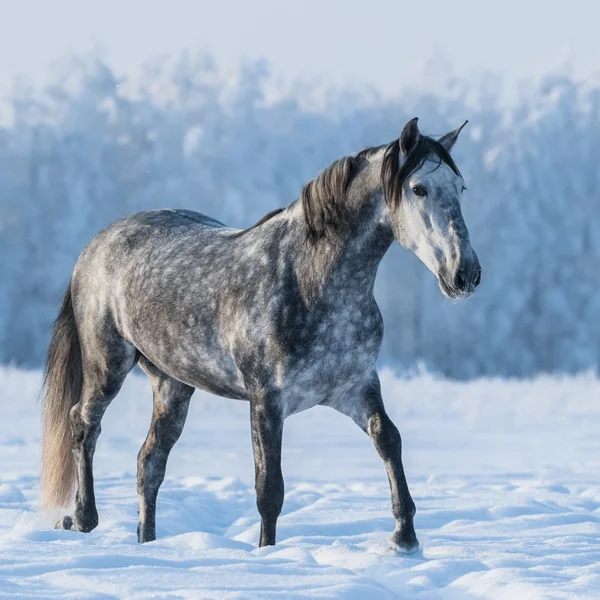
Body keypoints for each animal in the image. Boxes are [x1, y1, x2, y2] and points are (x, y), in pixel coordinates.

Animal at [39, 117, 480, 552]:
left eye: (460, 188)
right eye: (419, 188)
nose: (466, 274)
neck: (311, 280)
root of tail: (95, 245)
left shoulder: (355, 387)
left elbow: (388, 439)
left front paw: (404, 538)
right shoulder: (267, 400)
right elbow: (269, 488)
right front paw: (267, 554)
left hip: (172, 385)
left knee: (149, 462)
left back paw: (147, 542)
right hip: (108, 365)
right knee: (84, 424)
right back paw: (83, 518)